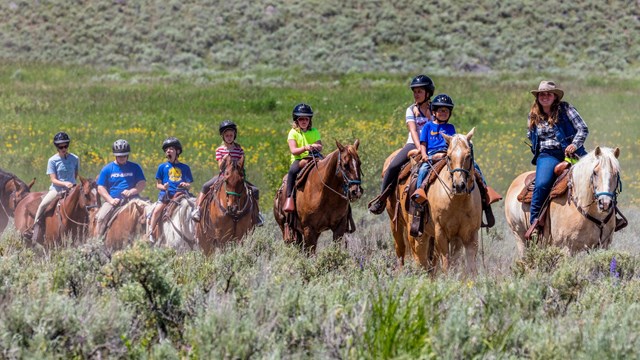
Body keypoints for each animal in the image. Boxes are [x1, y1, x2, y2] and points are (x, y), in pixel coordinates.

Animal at [382, 129, 482, 272]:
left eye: (468, 156)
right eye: (449, 157)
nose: (459, 185)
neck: (457, 201)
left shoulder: (469, 234)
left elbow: (467, 265)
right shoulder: (440, 232)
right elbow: (446, 263)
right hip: (402, 226)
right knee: (409, 253)